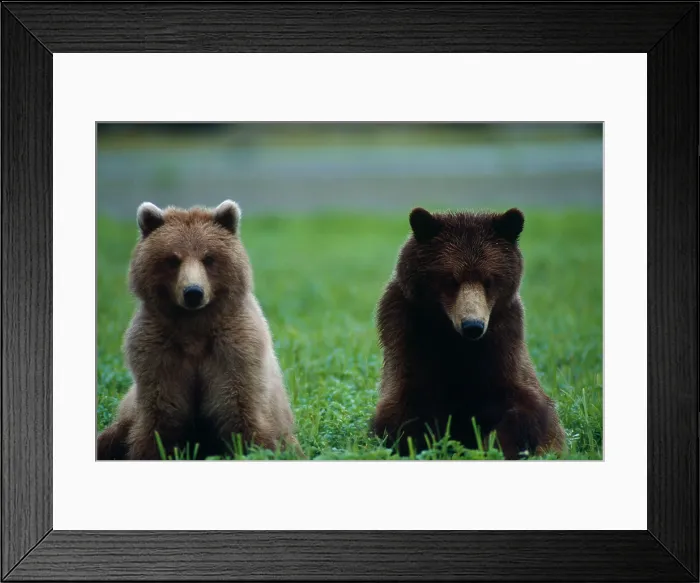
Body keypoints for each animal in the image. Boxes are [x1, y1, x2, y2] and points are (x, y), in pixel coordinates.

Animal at [97, 200, 301, 460]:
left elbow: (239, 409)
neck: (194, 326)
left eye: (208, 258)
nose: (193, 292)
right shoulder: (158, 351)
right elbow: (161, 415)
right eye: (173, 259)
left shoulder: (234, 352)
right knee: (112, 434)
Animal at [371, 206, 566, 460]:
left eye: (489, 279)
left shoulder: (502, 342)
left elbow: (524, 406)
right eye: (451, 279)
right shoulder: (408, 334)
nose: (472, 325)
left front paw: (497, 445)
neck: (456, 340)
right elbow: (404, 410)